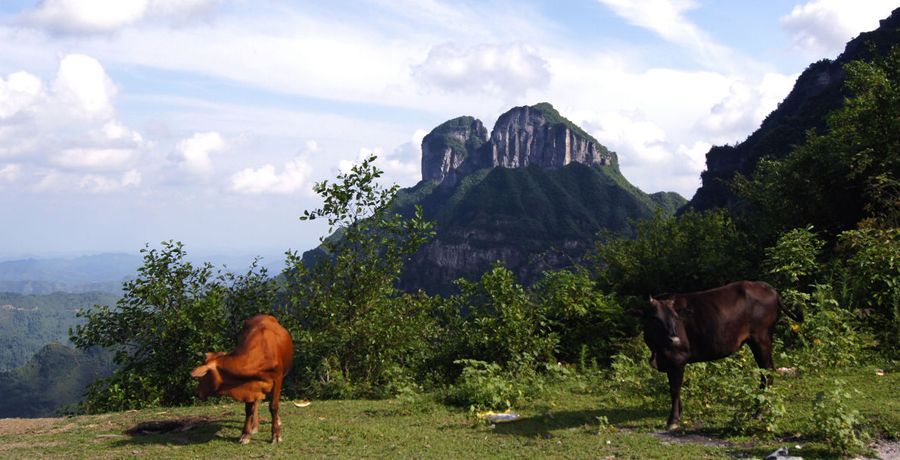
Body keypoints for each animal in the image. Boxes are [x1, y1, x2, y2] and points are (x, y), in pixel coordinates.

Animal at [192, 314, 294, 444]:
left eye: (204, 375)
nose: (197, 392)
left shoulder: (277, 379)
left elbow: (273, 406)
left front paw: (276, 435)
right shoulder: (248, 384)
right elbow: (248, 409)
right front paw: (246, 434)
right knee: (256, 403)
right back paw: (254, 426)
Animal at [640, 280, 780, 432]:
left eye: (675, 318)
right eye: (655, 318)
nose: (675, 340)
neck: (656, 351)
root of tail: (766, 286)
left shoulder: (677, 359)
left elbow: (674, 389)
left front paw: (673, 420)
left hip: (761, 340)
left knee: (768, 372)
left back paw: (760, 411)